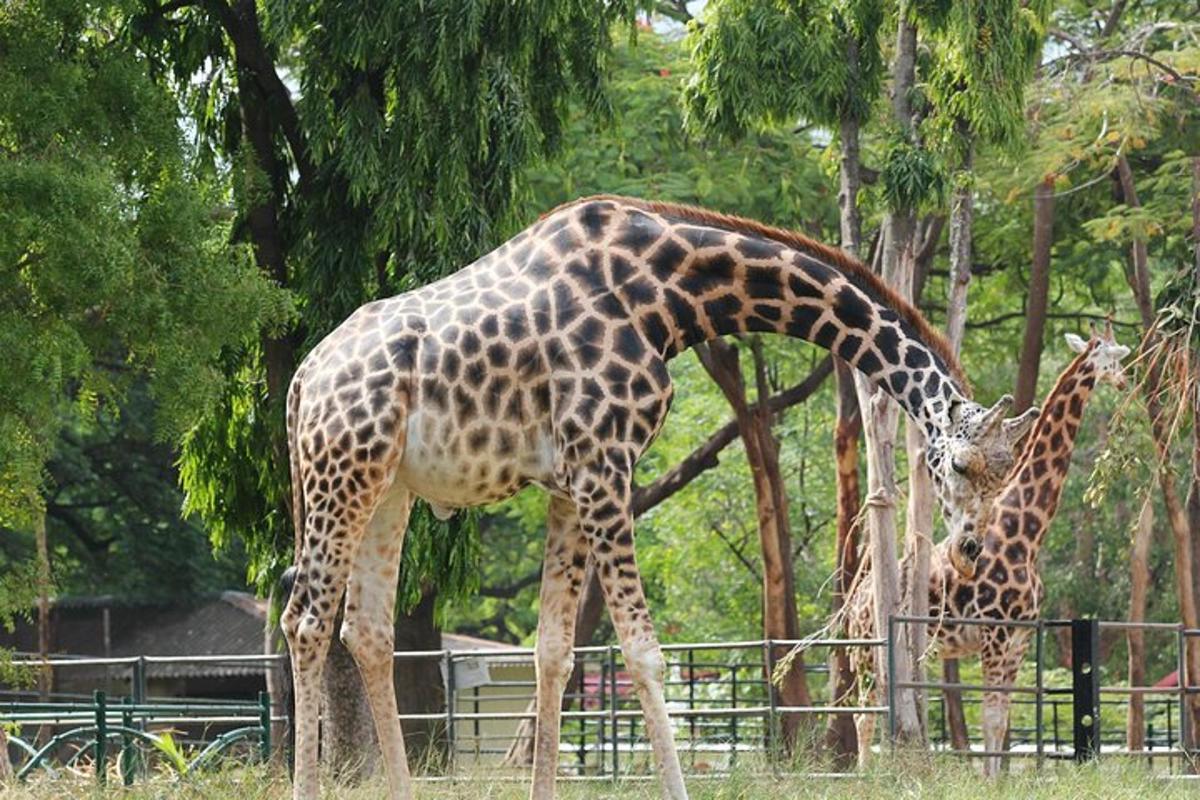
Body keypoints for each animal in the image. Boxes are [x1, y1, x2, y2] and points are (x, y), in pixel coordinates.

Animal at [276, 195, 1036, 800]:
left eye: (1006, 473)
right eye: (961, 464)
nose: (970, 553)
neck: (667, 297)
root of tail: (303, 380)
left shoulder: (571, 482)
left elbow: (554, 651)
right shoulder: (604, 464)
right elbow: (644, 653)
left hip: (389, 487)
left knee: (367, 632)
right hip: (341, 469)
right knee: (306, 620)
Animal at [844, 326, 1123, 777]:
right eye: (1111, 358)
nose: (1125, 380)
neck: (1026, 534)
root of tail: (854, 600)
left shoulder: (1020, 639)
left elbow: (1002, 718)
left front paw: (998, 781)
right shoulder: (995, 632)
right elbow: (991, 719)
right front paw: (990, 783)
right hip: (867, 648)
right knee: (863, 714)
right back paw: (865, 775)